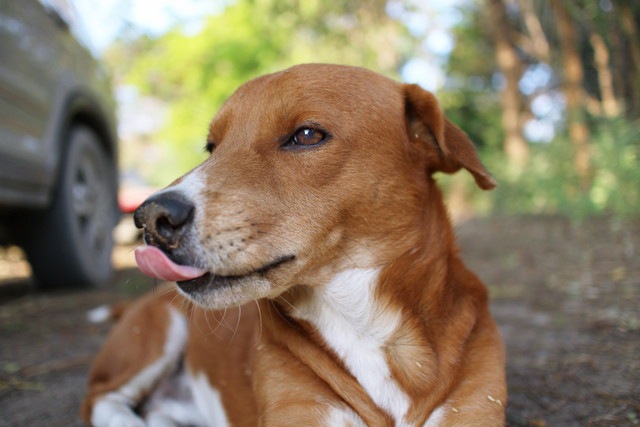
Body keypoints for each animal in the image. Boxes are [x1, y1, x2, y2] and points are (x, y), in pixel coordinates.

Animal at [82, 64, 508, 427]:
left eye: (306, 135)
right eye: (212, 147)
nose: (150, 217)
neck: (365, 321)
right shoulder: (299, 411)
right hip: (155, 337)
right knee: (101, 400)